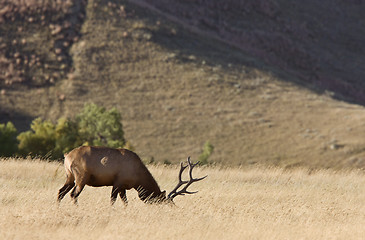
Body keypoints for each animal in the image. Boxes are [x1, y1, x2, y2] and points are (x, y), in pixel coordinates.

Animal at [56, 146, 205, 204]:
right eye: (165, 201)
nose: (174, 208)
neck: (138, 178)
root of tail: (66, 156)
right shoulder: (118, 182)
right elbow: (113, 200)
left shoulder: (123, 187)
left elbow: (125, 202)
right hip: (81, 177)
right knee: (73, 194)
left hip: (69, 176)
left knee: (61, 192)